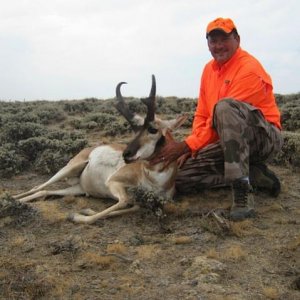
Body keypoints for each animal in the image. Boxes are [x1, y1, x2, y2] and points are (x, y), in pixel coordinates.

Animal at [14, 75, 188, 223]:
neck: (155, 181)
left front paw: (85, 211)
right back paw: (15, 199)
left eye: (153, 129)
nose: (126, 154)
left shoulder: (140, 201)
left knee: (44, 192)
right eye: (134, 129)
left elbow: (130, 207)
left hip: (78, 188)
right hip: (69, 169)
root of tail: (89, 149)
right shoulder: (113, 182)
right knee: (39, 186)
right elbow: (123, 201)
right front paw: (77, 216)